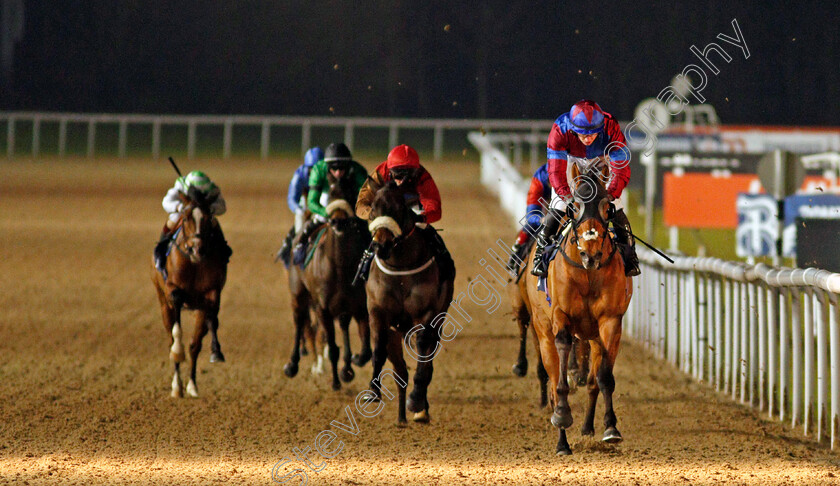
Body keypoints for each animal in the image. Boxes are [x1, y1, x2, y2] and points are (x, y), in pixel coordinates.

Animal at [152, 188, 228, 396]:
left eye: (208, 218)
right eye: (185, 218)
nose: (196, 248)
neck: (194, 264)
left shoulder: (211, 293)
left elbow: (212, 319)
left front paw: (216, 352)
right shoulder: (172, 288)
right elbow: (177, 317)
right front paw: (178, 350)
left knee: (195, 345)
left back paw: (192, 385)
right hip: (163, 303)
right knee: (171, 336)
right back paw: (176, 385)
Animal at [284, 177, 372, 390]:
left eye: (350, 191)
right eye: (330, 193)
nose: (338, 221)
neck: (339, 265)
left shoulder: (359, 306)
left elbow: (366, 350)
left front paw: (350, 365)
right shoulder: (323, 308)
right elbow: (332, 348)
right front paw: (335, 382)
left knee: (342, 325)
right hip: (298, 294)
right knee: (299, 322)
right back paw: (292, 365)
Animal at [360, 180, 452, 424]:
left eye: (399, 209)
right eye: (372, 210)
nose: (380, 246)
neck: (400, 269)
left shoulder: (426, 314)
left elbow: (423, 353)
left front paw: (417, 400)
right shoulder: (377, 312)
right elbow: (378, 349)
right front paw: (373, 392)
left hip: (438, 322)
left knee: (427, 360)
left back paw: (420, 408)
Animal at [532, 157, 632, 456]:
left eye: (606, 207)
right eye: (574, 206)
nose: (591, 254)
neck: (588, 274)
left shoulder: (610, 321)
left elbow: (604, 377)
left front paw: (610, 427)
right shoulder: (560, 316)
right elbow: (561, 374)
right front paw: (563, 415)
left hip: (594, 337)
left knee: (592, 381)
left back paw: (587, 427)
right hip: (543, 333)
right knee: (554, 381)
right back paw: (562, 441)